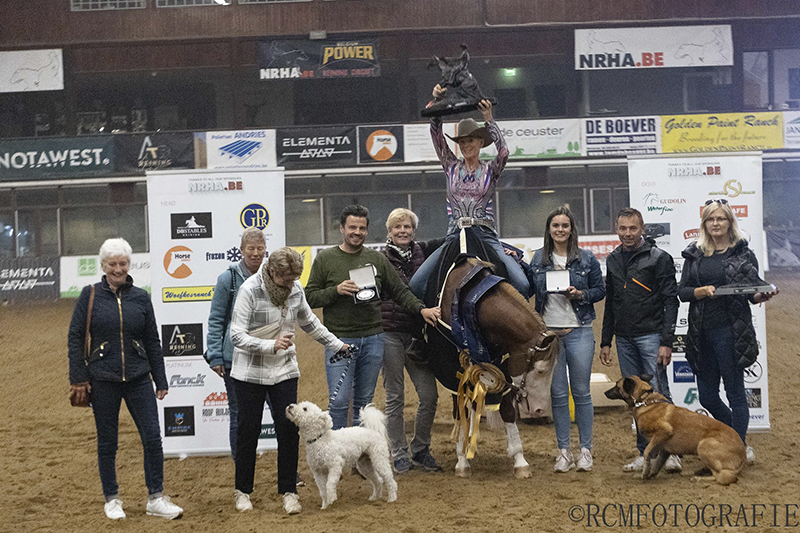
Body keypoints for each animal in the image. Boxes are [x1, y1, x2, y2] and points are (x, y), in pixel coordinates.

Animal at [424, 256, 556, 476]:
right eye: (539, 370)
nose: (540, 410)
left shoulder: (502, 367)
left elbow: (507, 411)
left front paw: (520, 461)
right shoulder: (452, 373)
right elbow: (460, 411)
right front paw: (462, 462)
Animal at [604, 374, 748, 482]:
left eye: (616, 385)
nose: (605, 392)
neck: (644, 401)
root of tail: (743, 454)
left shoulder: (663, 432)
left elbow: (646, 453)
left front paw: (645, 472)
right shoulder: (664, 450)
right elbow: (656, 464)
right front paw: (649, 474)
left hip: (703, 445)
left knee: (721, 476)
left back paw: (698, 478)